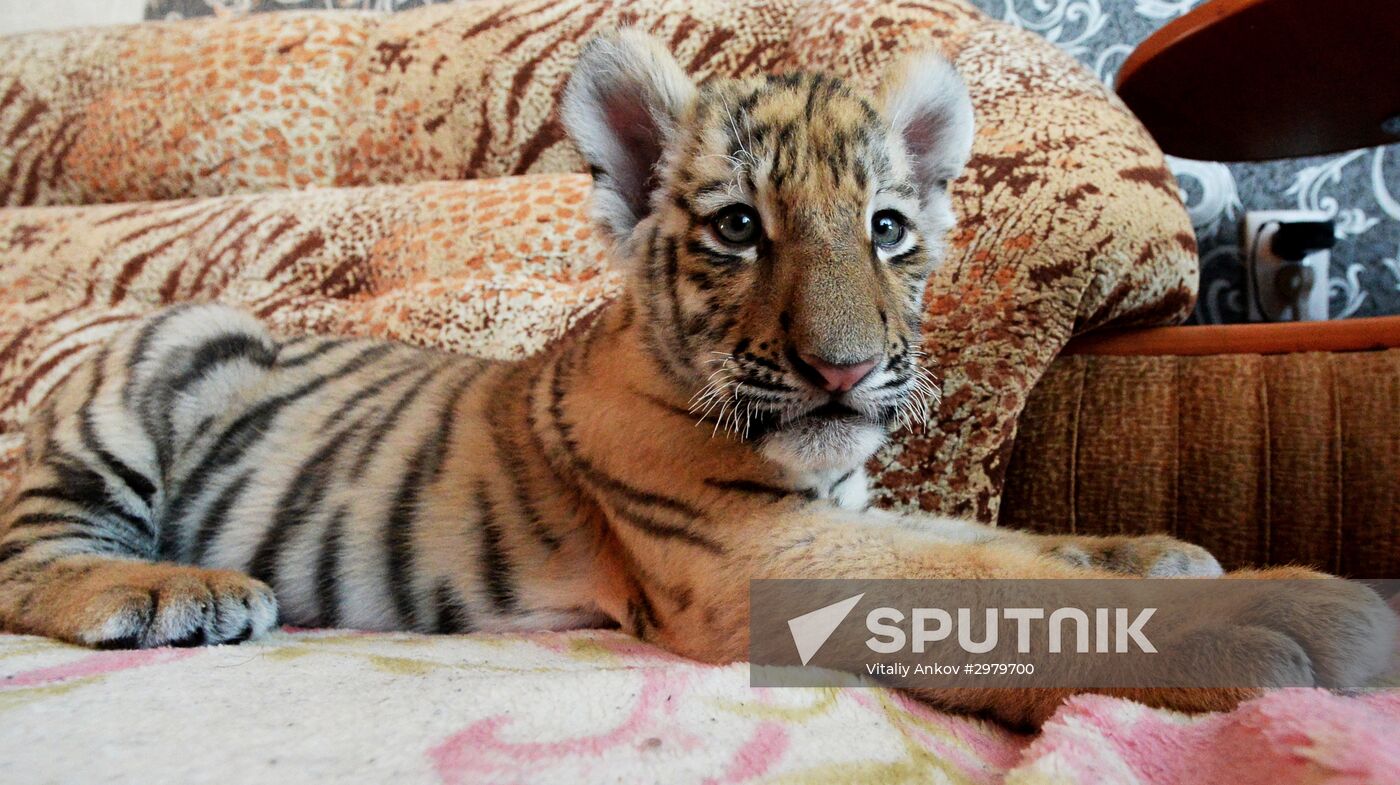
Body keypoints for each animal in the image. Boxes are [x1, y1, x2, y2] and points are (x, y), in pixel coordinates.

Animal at [0, 29, 1393, 728]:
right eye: (736, 228)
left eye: (886, 228)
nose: (844, 366)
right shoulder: (753, 551)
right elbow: (975, 578)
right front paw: (1299, 615)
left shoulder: (837, 508)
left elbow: (995, 539)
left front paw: (1166, 551)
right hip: (164, 361)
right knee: (30, 558)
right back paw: (178, 589)